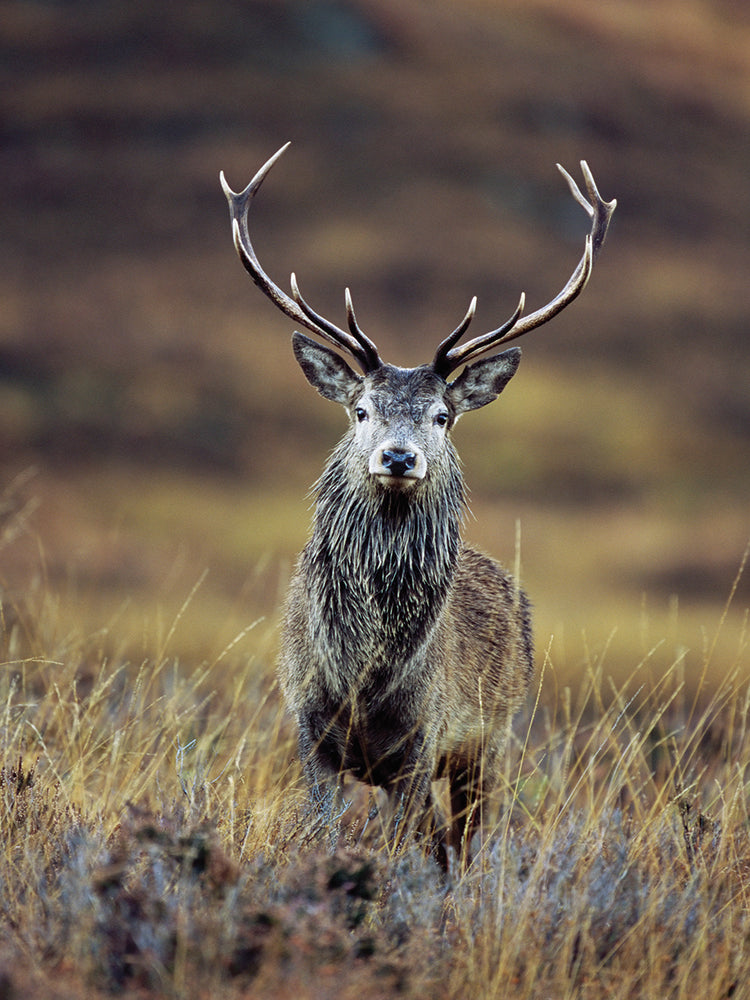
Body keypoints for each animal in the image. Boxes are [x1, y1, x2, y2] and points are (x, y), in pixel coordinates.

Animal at [220, 144, 616, 868]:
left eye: (442, 415)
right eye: (361, 409)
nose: (399, 458)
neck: (365, 674)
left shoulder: (423, 739)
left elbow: (415, 846)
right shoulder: (310, 730)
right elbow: (326, 832)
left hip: (494, 739)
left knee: (461, 838)